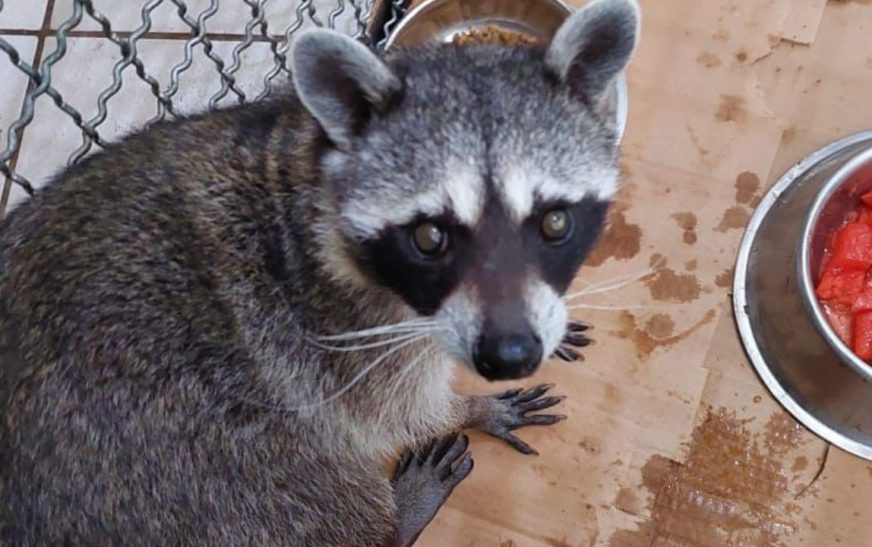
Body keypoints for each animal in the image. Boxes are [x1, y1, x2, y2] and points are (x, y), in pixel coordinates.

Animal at [0, 1, 640, 544]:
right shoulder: (337, 335)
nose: (509, 354)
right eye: (430, 237)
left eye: (554, 222)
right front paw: (469, 408)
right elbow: (396, 412)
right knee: (320, 491)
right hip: (213, 476)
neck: (306, 169)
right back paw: (395, 522)